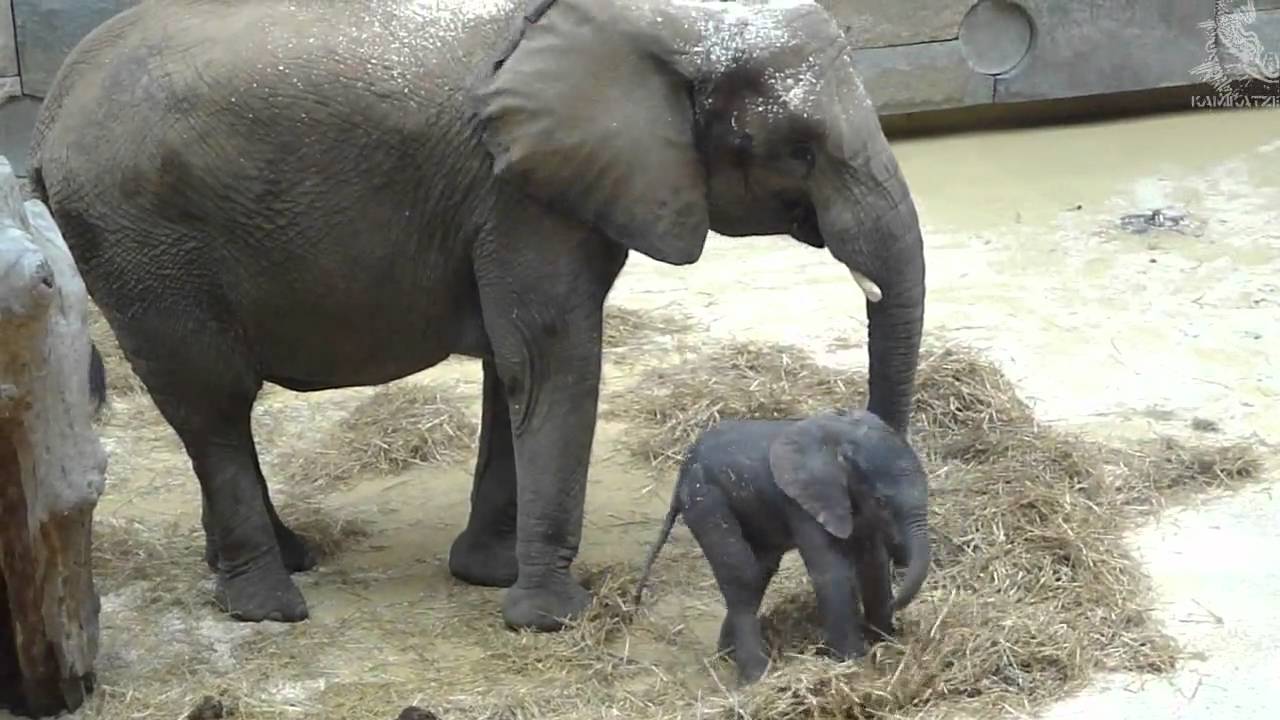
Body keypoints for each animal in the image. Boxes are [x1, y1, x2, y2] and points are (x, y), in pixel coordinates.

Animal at [29, 0, 927, 631]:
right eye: (800, 150)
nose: (879, 580)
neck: (663, 24)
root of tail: (46, 118)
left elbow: (513, 365)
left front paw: (488, 575)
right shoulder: (521, 196)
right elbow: (555, 358)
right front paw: (550, 620)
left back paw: (276, 562)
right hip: (141, 239)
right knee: (213, 405)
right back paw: (269, 604)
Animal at [633, 408, 931, 683]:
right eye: (881, 501)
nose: (896, 607)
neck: (842, 441)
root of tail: (684, 466)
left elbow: (873, 562)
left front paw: (886, 644)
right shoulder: (802, 503)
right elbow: (831, 571)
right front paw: (854, 663)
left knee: (760, 572)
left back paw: (726, 657)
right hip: (705, 499)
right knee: (741, 576)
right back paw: (756, 677)